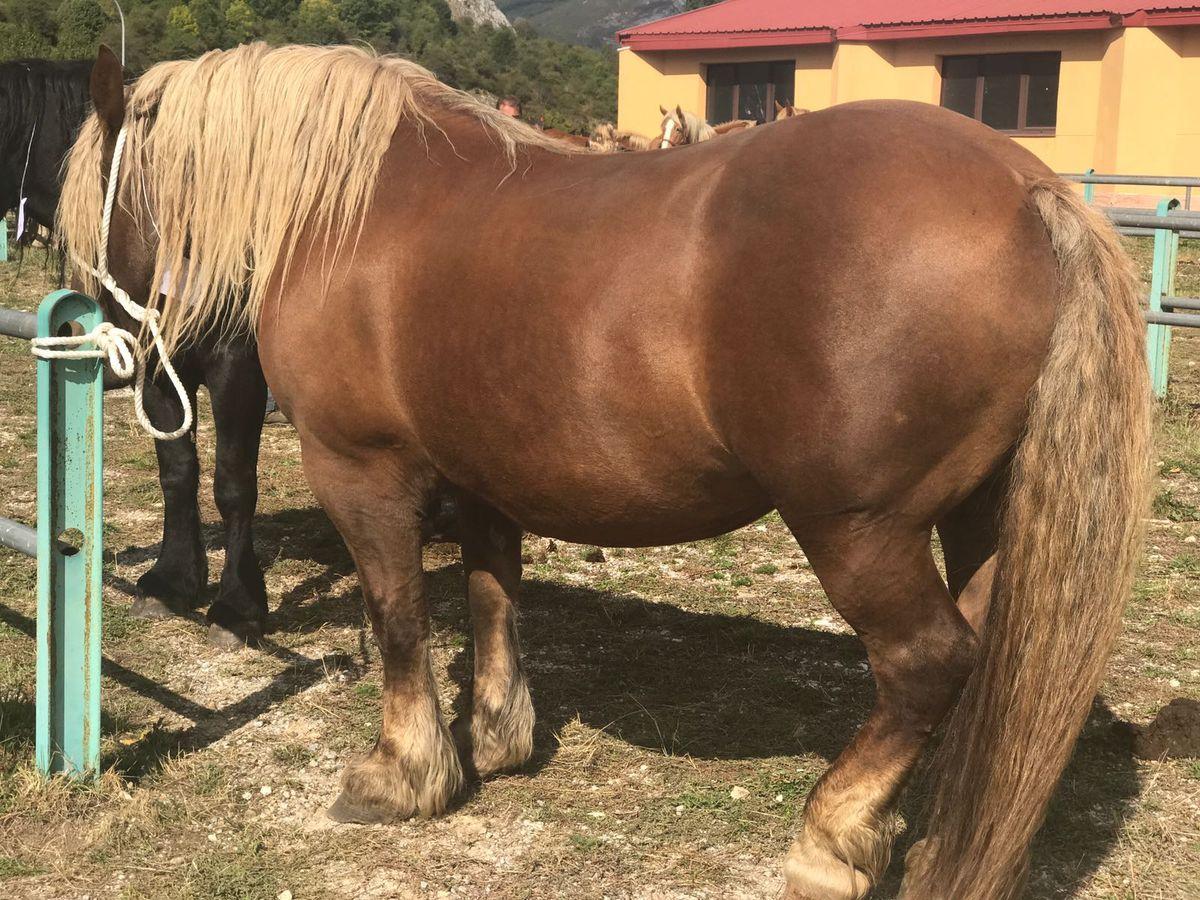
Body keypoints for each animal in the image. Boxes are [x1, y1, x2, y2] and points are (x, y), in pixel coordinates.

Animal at [4, 58, 270, 648]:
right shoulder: (156, 363)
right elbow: (178, 470)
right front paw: (173, 581)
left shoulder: (237, 366)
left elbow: (233, 483)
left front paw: (238, 607)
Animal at [60, 44, 1147, 900]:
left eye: (95, 213)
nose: (114, 350)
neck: (354, 208)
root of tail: (1031, 192)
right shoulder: (482, 472)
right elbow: (493, 594)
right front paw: (497, 739)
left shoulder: (360, 472)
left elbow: (399, 614)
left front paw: (402, 773)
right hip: (982, 516)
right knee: (987, 662)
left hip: (858, 528)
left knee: (927, 663)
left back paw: (831, 838)